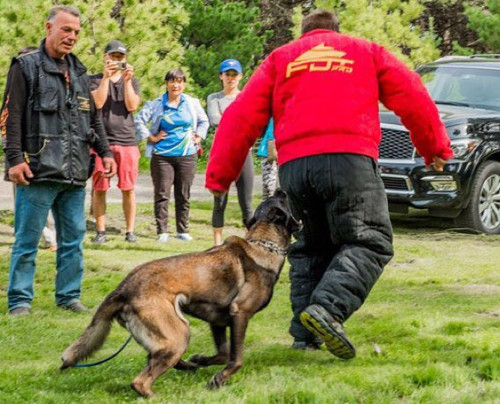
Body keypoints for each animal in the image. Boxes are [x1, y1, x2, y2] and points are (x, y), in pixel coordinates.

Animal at [60, 190, 298, 398]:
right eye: (282, 200)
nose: (281, 189)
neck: (264, 244)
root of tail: (123, 288)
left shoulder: (218, 320)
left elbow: (222, 354)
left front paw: (201, 360)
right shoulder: (240, 313)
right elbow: (235, 358)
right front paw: (219, 379)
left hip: (168, 336)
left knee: (154, 357)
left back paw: (186, 365)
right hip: (179, 333)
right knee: (140, 381)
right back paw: (157, 394)